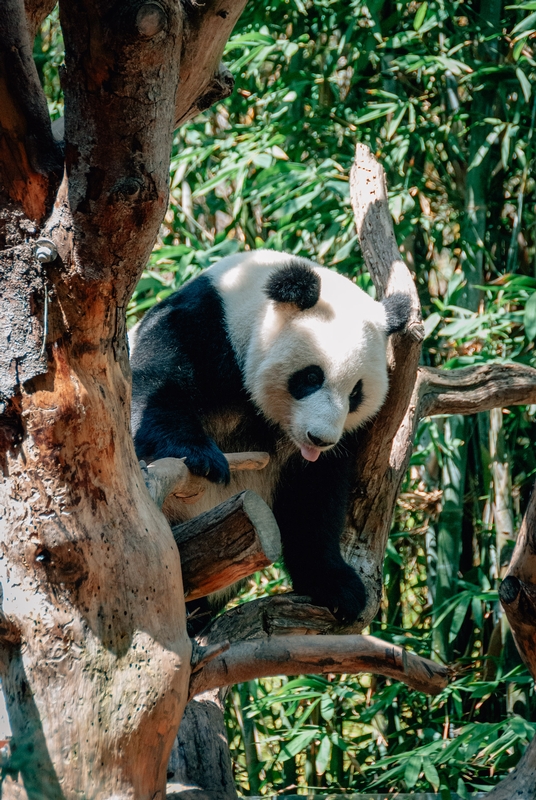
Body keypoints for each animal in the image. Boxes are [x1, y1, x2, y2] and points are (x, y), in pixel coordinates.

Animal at [131, 250, 410, 624]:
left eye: (356, 394)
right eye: (311, 377)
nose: (320, 439)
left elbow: (314, 498)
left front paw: (338, 588)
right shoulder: (200, 324)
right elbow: (157, 385)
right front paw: (202, 458)